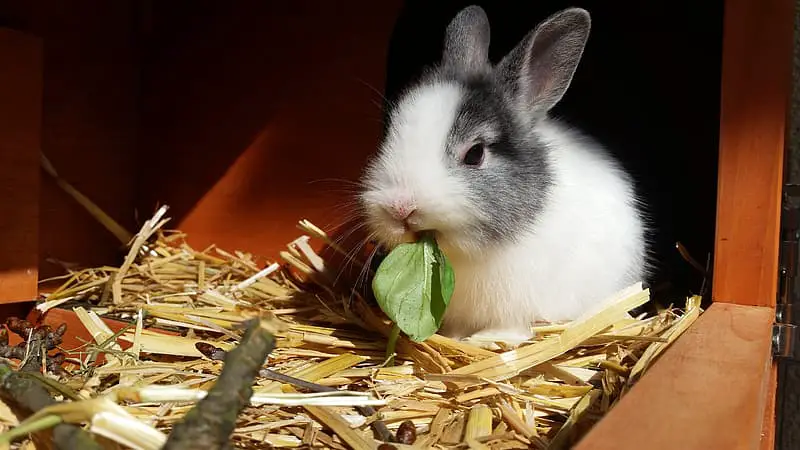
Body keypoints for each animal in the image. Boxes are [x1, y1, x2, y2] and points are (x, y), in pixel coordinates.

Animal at [360, 5, 648, 348]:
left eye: (475, 154)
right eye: (390, 133)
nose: (399, 208)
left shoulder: (519, 306)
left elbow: (513, 329)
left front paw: (484, 340)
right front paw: (456, 338)